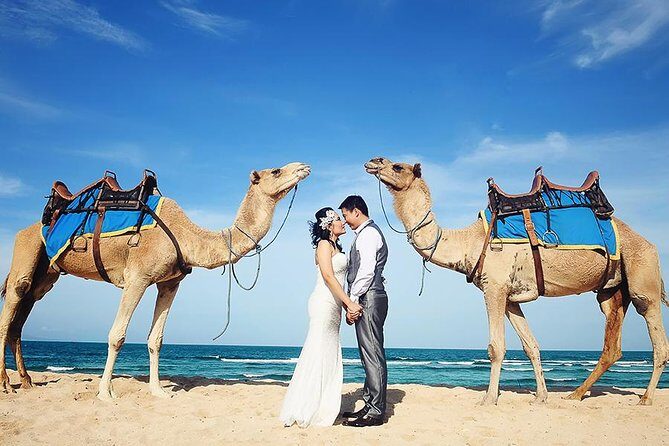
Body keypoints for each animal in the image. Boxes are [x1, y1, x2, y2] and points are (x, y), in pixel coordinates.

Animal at [0, 162, 311, 400]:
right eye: (276, 170)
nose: (304, 167)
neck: (186, 237)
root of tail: (26, 228)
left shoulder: (170, 283)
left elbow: (156, 339)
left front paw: (159, 391)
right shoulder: (136, 278)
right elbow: (117, 335)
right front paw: (105, 393)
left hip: (47, 275)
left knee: (22, 316)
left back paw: (27, 381)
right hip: (26, 251)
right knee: (12, 306)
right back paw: (7, 385)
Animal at [364, 157, 668, 405]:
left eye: (397, 166)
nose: (373, 161)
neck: (469, 242)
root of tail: (649, 242)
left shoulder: (494, 288)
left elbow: (495, 348)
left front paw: (489, 399)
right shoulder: (511, 297)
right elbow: (531, 346)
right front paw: (541, 397)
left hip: (643, 274)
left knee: (656, 335)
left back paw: (645, 398)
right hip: (610, 289)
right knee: (612, 345)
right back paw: (575, 394)